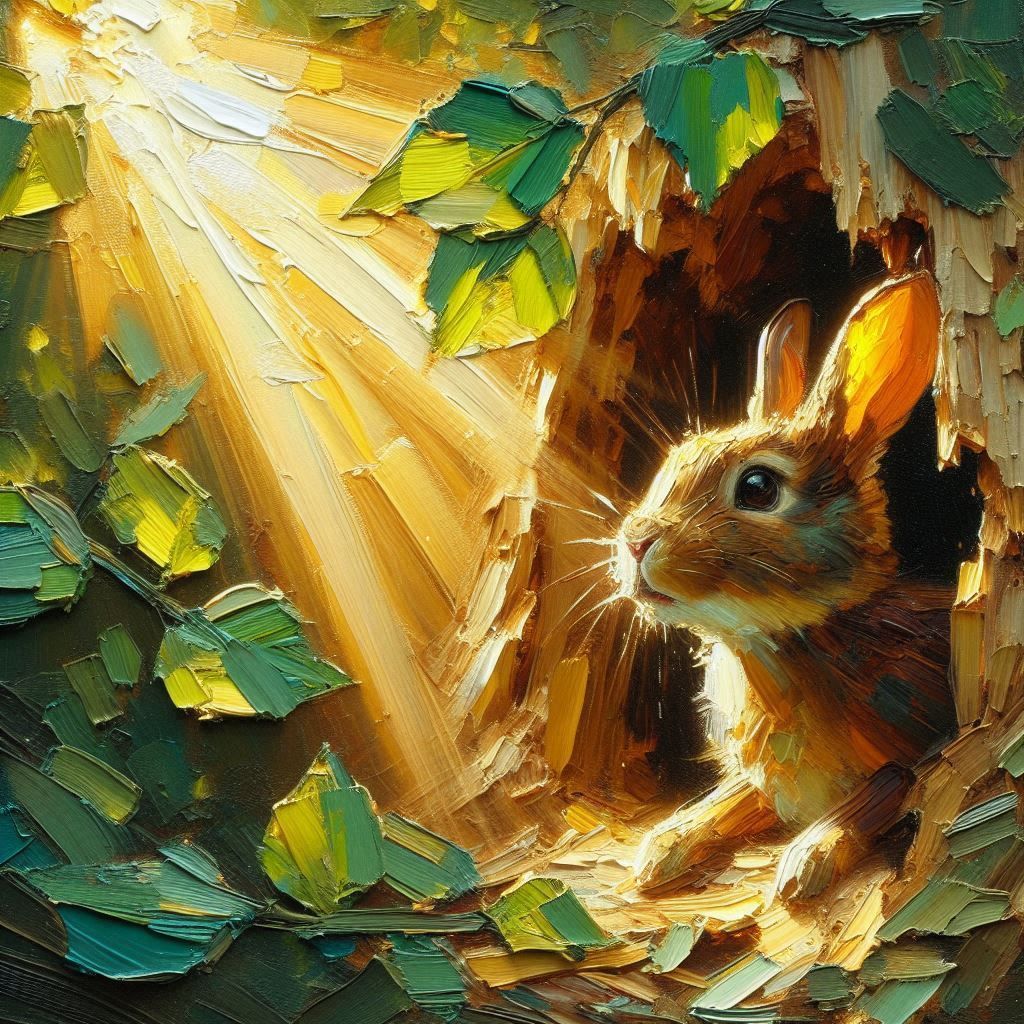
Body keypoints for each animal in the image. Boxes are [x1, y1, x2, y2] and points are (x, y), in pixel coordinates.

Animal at [616, 273, 957, 898]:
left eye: (757, 487)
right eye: (673, 461)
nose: (635, 544)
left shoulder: (918, 746)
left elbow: (880, 792)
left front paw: (805, 862)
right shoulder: (763, 784)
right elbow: (727, 800)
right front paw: (662, 849)